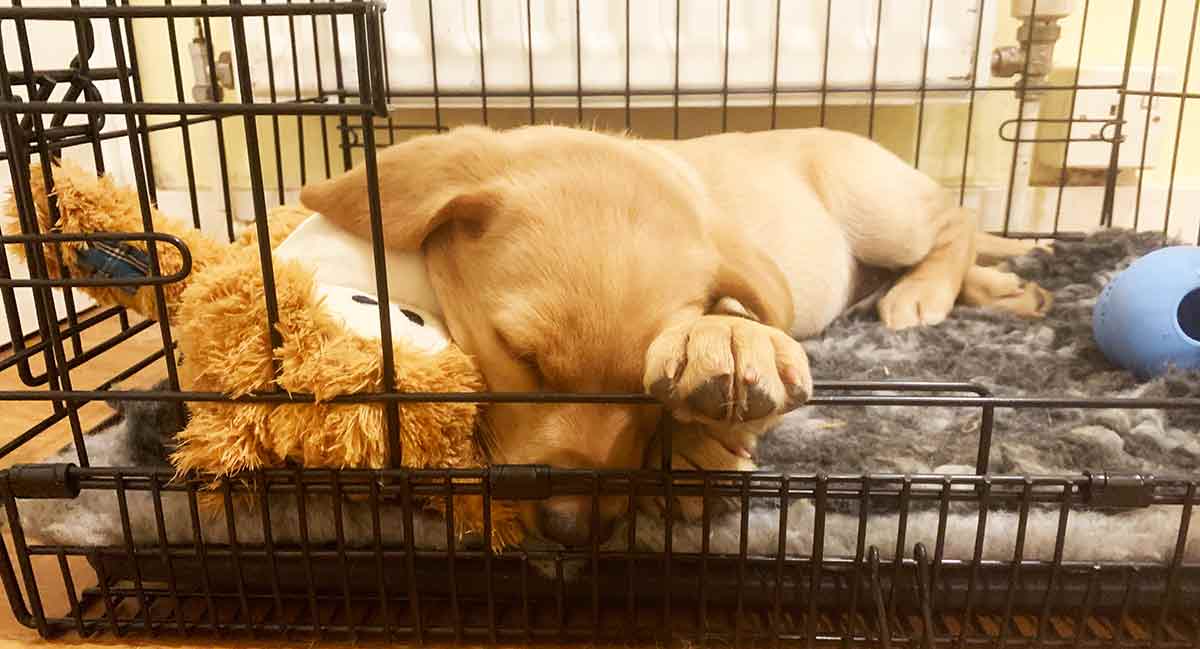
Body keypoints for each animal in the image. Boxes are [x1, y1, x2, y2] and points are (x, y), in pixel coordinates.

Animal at [302, 124, 1051, 544]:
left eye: (642, 392)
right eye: (522, 357)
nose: (573, 531)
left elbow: (737, 326)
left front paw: (712, 397)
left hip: (879, 209)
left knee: (956, 221)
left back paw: (929, 292)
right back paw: (1004, 286)